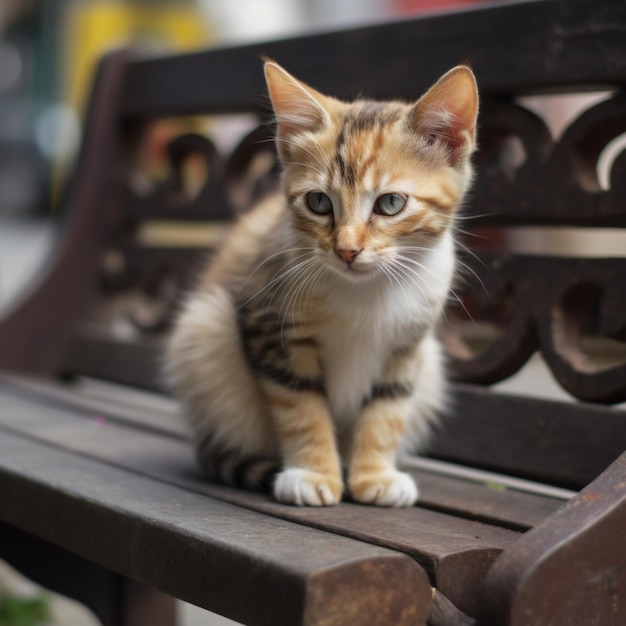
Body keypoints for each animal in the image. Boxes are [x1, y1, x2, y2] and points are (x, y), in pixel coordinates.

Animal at [163, 59, 476, 508]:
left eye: (391, 203)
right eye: (318, 202)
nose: (346, 251)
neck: (367, 290)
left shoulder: (410, 344)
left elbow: (387, 410)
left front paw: (374, 475)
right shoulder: (271, 326)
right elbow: (301, 407)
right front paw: (312, 475)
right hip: (204, 330)